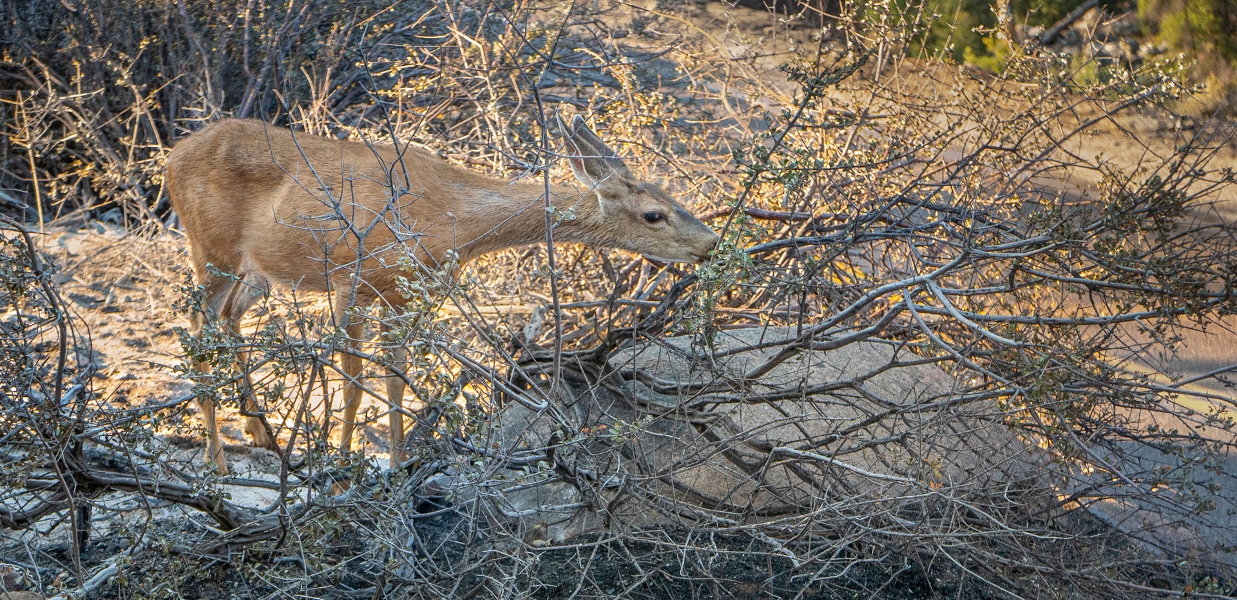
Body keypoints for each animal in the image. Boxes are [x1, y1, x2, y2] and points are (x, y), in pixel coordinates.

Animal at [166, 116, 720, 476]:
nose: (712, 243)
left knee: (228, 321)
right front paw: (342, 473)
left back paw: (261, 433)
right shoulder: (350, 278)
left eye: (673, 197)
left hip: (257, 271)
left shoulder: (402, 294)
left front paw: (396, 463)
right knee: (197, 333)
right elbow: (353, 381)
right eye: (653, 214)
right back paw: (217, 464)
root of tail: (173, 153)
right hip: (209, 249)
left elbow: (394, 379)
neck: (452, 218)